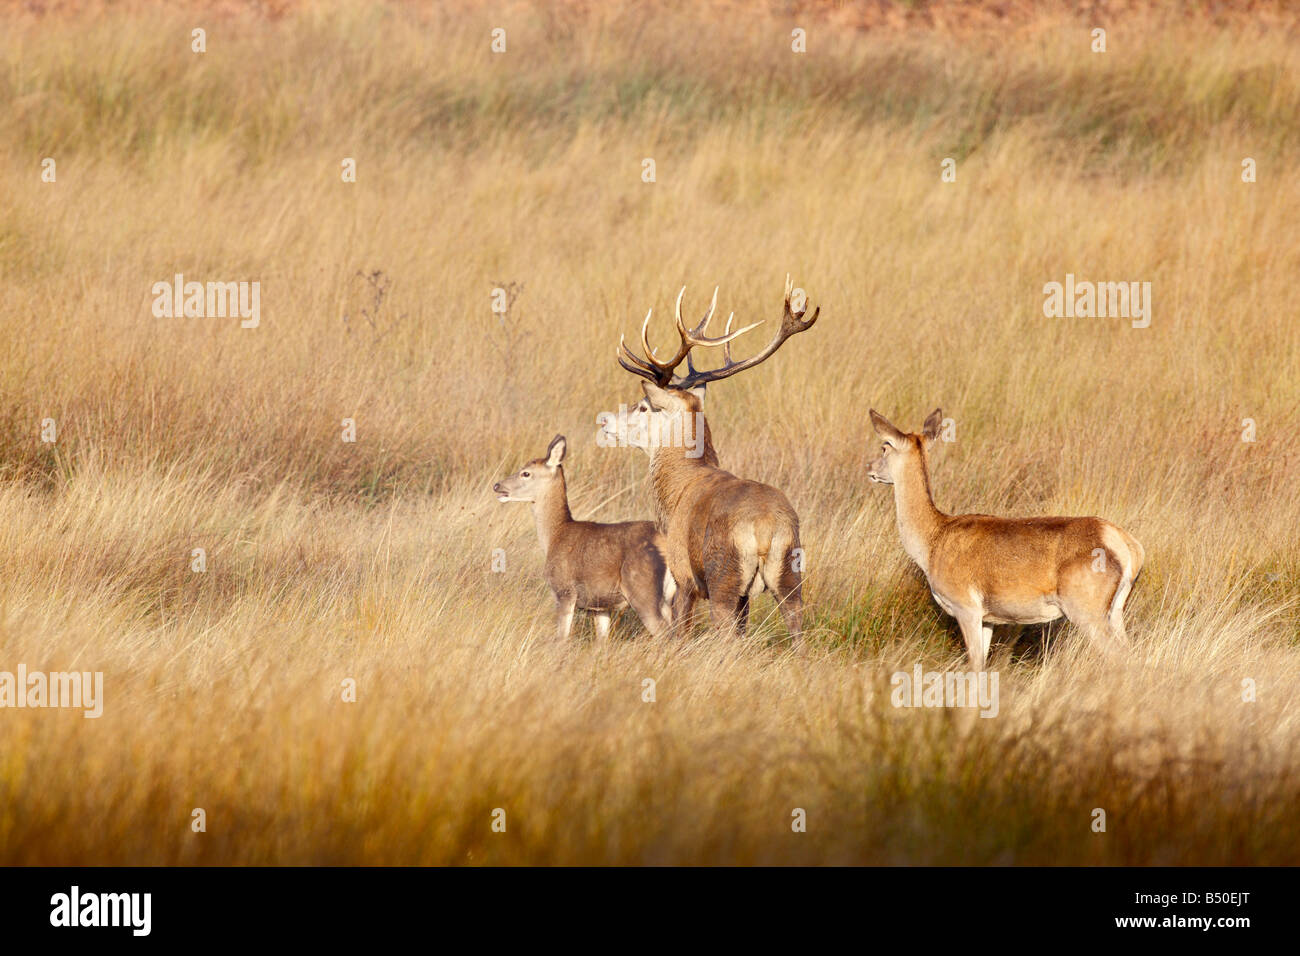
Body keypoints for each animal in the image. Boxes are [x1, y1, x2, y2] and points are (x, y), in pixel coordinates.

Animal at [493, 435, 675, 641]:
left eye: (526, 473)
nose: (497, 486)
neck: (555, 535)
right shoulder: (600, 606)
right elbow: (602, 640)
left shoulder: (564, 590)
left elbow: (561, 638)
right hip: (669, 598)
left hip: (643, 590)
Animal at [604, 276, 819, 645]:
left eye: (644, 407)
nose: (605, 422)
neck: (675, 491)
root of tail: (766, 528)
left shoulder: (682, 574)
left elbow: (680, 631)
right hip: (790, 573)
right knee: (796, 630)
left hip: (724, 576)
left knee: (725, 634)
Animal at [867, 408, 1145, 670]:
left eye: (885, 446)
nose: (868, 468)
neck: (933, 541)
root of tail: (1127, 546)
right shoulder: (988, 619)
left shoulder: (966, 607)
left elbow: (975, 665)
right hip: (1116, 611)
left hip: (1087, 613)